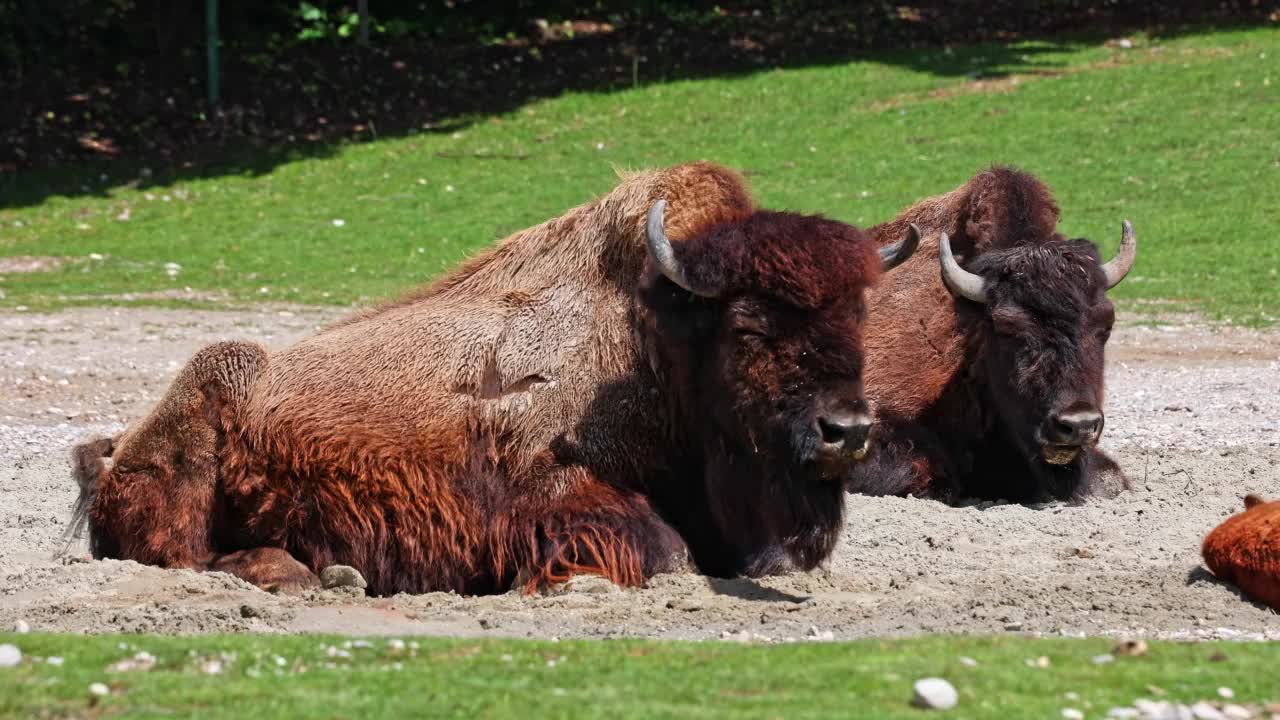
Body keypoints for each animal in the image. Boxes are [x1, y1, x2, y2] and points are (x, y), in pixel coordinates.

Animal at [64, 162, 921, 594]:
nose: (846, 431)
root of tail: (111, 451)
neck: (659, 338)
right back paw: (311, 576)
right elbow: (661, 551)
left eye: (858, 317)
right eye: (748, 328)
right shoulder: (545, 495)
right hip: (209, 391)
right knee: (182, 554)